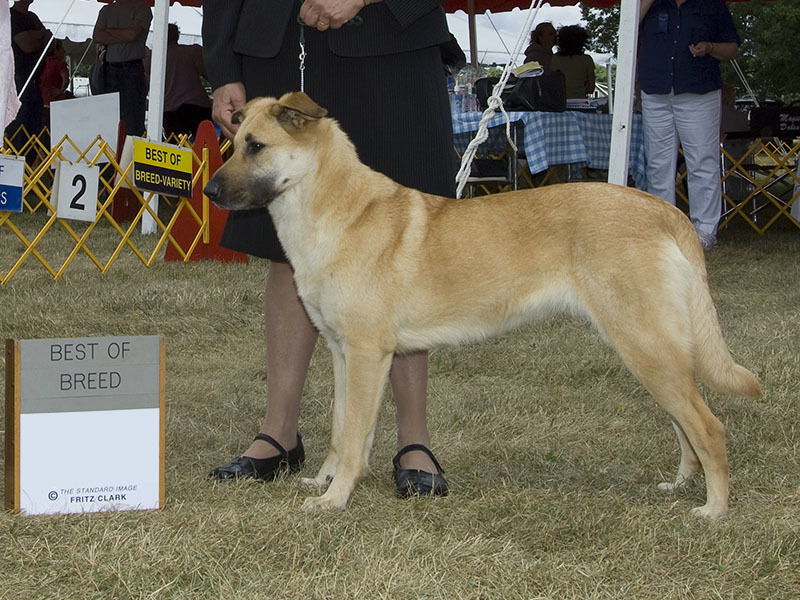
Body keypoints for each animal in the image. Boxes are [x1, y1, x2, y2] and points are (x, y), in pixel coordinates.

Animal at [203, 91, 760, 516]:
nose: (207, 191)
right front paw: (326, 481)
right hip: (652, 352)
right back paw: (681, 484)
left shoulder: (367, 353)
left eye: (256, 146)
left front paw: (335, 500)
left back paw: (714, 509)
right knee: (686, 426)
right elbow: (344, 433)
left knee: (709, 427)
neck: (335, 212)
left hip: (646, 348)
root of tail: (664, 209)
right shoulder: (343, 353)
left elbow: (356, 433)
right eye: (231, 142)